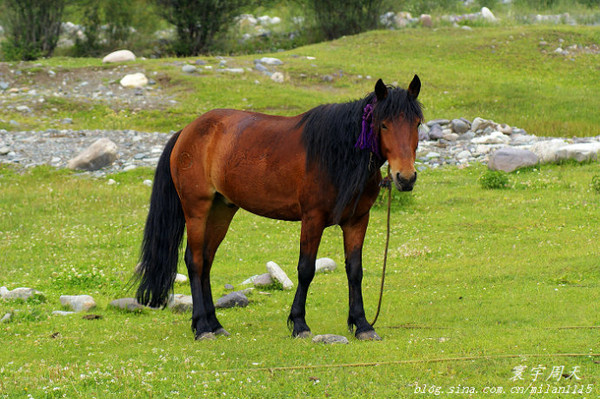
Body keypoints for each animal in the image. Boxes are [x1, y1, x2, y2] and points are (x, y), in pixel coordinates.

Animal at [138, 75, 424, 340]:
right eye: (383, 124)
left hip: (221, 211)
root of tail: (187, 131)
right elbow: (306, 269)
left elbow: (354, 271)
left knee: (207, 261)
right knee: (195, 261)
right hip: (197, 210)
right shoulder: (312, 218)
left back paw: (214, 324)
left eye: (417, 123)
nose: (405, 177)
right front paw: (299, 323)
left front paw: (363, 325)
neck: (336, 154)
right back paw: (201, 327)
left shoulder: (357, 220)